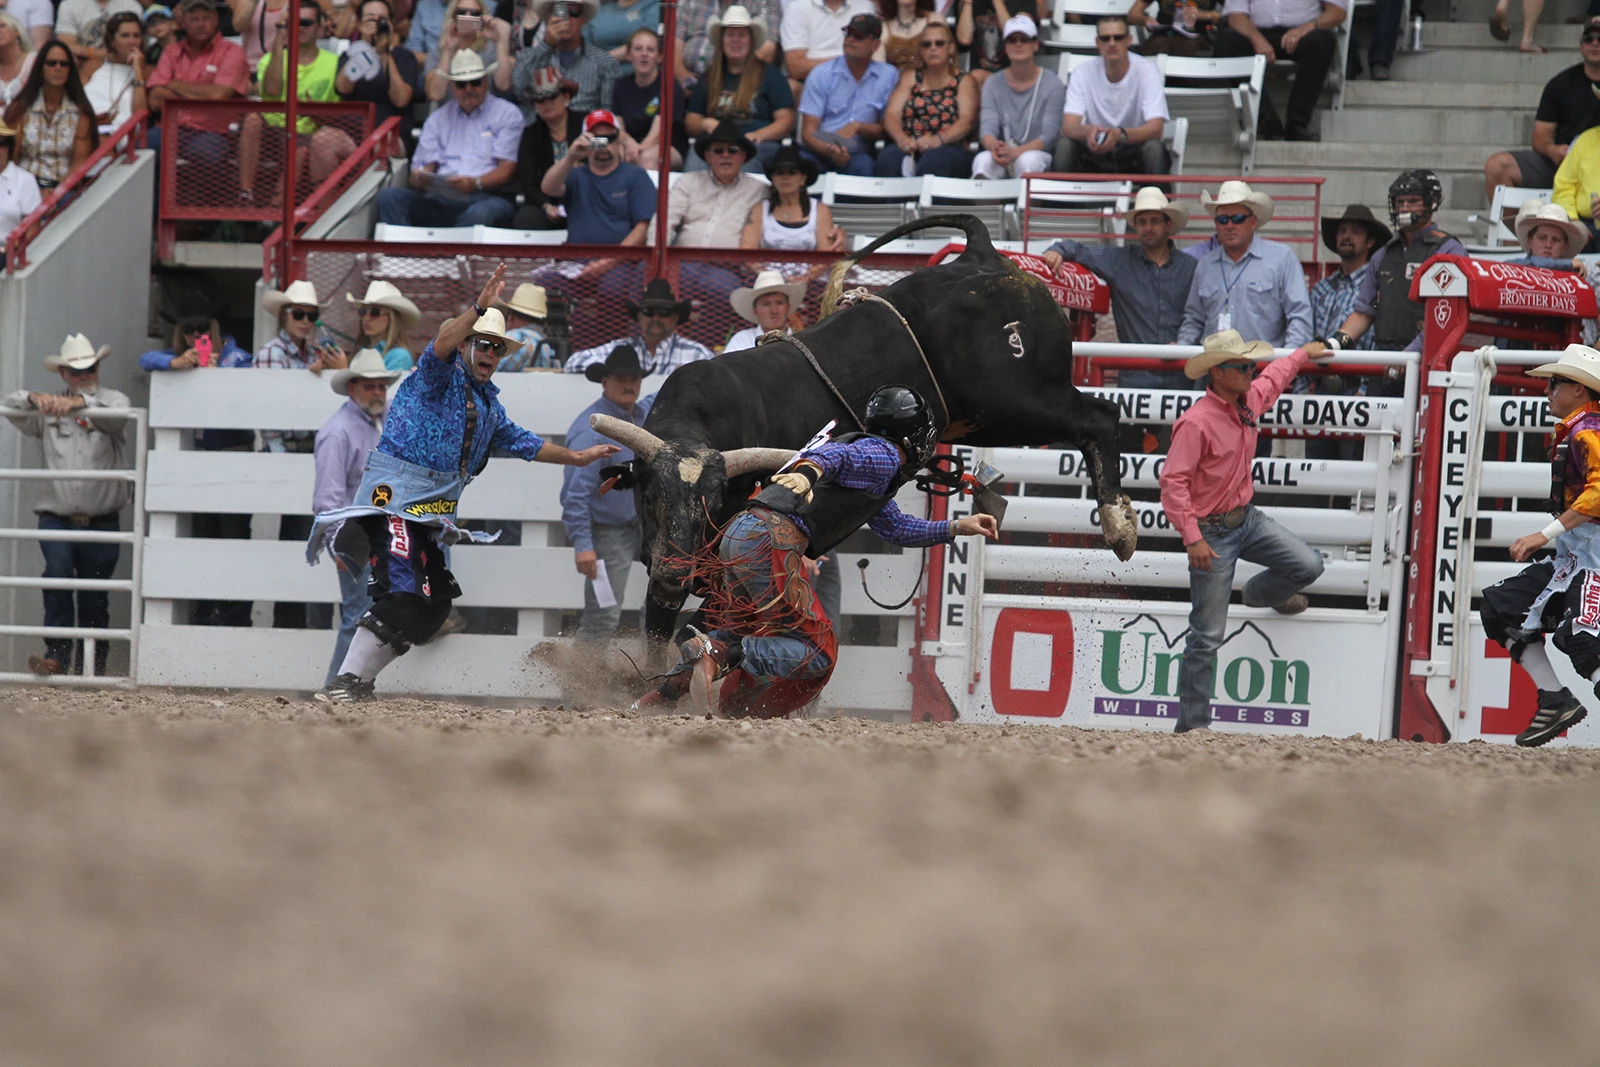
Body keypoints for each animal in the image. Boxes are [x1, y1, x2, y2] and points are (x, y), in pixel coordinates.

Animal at [592, 212, 1139, 639]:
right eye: (647, 493)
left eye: (708, 499)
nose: (671, 572)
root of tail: (981, 256)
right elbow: (659, 624)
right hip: (985, 420)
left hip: (1018, 401)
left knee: (1100, 418)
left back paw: (1120, 528)